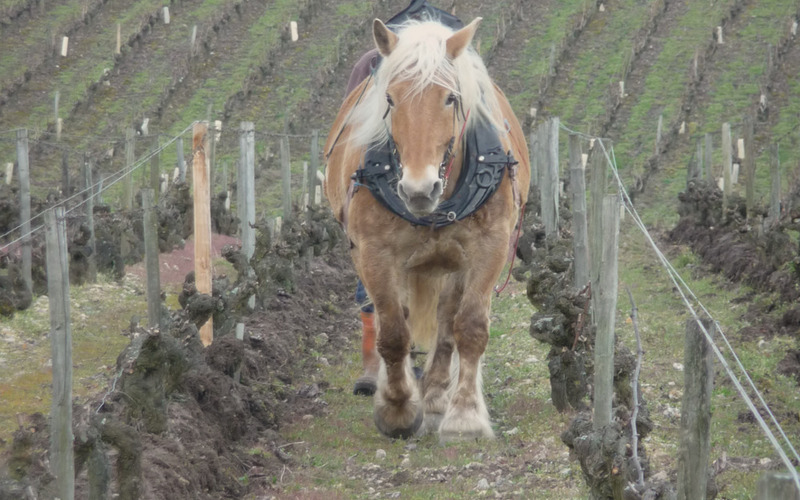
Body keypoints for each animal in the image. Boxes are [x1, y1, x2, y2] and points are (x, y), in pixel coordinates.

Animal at [324, 17, 530, 441]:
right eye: (390, 99)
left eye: (450, 99)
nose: (419, 189)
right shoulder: (374, 252)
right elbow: (393, 332)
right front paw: (398, 409)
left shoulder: (491, 246)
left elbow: (469, 327)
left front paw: (464, 416)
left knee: (446, 323)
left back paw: (436, 396)